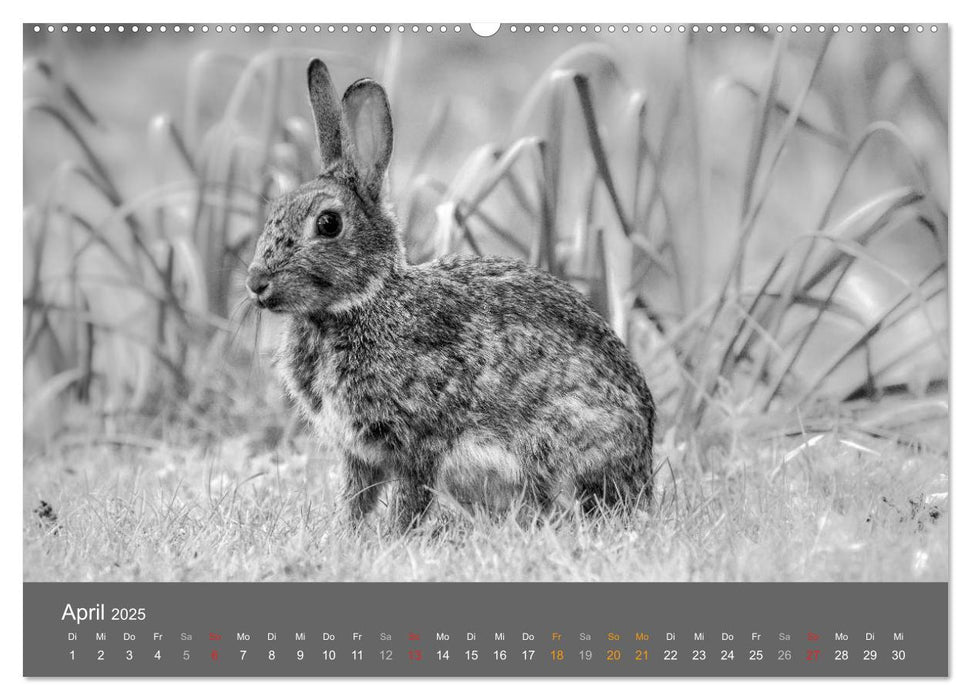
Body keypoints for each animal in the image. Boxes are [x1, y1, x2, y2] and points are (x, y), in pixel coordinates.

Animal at [249, 58, 660, 532]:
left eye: (328, 223)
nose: (256, 282)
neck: (363, 302)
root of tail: (642, 472)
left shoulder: (418, 441)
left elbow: (409, 497)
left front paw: (394, 537)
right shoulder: (358, 452)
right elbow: (356, 498)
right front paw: (345, 534)